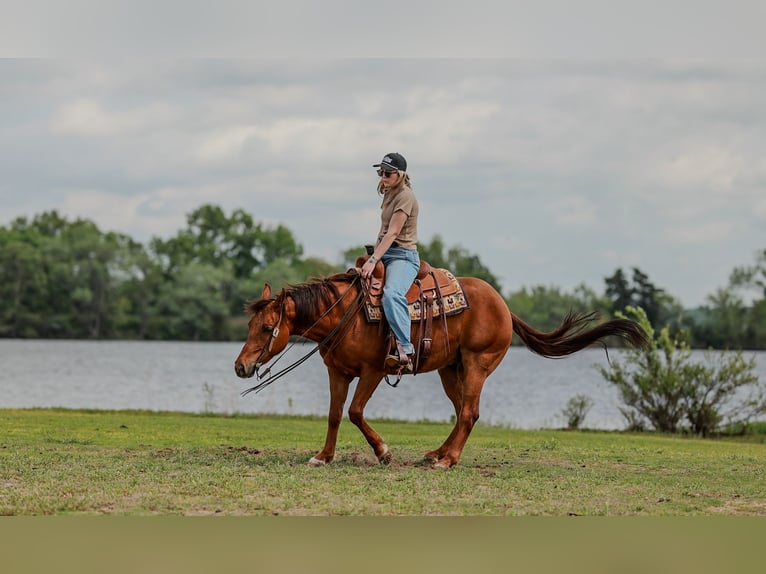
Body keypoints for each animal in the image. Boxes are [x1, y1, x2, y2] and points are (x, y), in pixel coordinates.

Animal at [234, 269, 648, 469]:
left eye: (267, 328)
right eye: (251, 325)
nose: (241, 366)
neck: (345, 316)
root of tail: (502, 304)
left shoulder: (372, 371)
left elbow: (354, 412)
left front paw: (383, 452)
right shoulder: (337, 373)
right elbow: (335, 415)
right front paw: (323, 457)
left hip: (478, 362)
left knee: (469, 411)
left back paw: (448, 460)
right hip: (451, 369)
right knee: (461, 409)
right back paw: (437, 453)